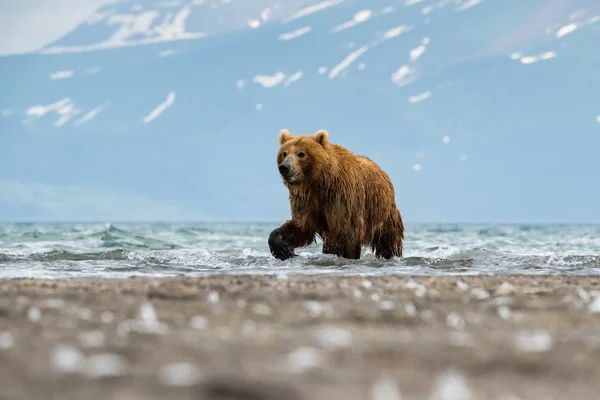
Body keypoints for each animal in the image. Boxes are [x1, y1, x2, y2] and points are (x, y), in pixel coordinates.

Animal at [270, 126, 406, 260]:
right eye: (284, 153)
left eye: (301, 154)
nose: (284, 167)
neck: (319, 183)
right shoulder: (306, 200)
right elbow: (301, 227)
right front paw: (282, 247)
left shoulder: (342, 196)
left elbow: (349, 232)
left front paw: (350, 256)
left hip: (384, 215)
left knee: (387, 242)